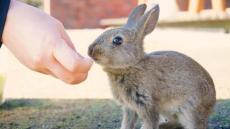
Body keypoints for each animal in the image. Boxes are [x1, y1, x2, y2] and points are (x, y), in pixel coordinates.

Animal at [87, 3, 216, 129]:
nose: (90, 51)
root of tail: (211, 105)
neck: (132, 65)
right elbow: (127, 122)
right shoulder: (129, 107)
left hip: (190, 111)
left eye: (117, 40)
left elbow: (150, 122)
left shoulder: (147, 104)